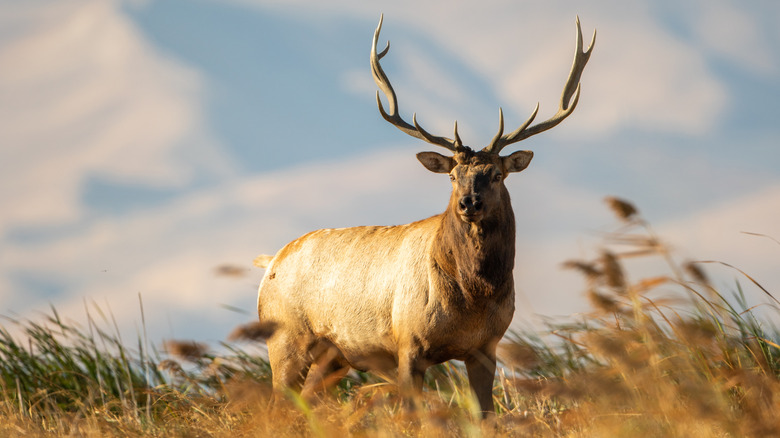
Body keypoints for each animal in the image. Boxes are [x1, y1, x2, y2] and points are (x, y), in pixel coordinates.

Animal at [253, 15, 595, 416]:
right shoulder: (408, 344)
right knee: (276, 404)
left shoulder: (487, 347)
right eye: (452, 176)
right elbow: (413, 417)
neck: (472, 299)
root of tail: (270, 261)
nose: (469, 203)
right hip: (285, 339)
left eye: (496, 174)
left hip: (334, 356)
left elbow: (485, 416)